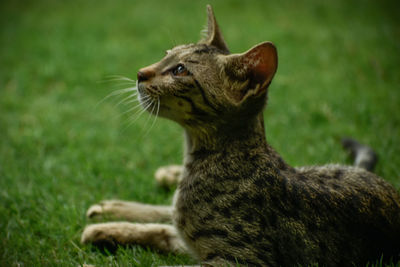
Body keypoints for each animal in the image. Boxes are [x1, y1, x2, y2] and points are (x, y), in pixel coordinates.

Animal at [80, 4, 400, 267]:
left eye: (180, 71)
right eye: (166, 56)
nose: (139, 73)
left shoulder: (237, 258)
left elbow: (168, 240)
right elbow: (161, 226)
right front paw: (111, 227)